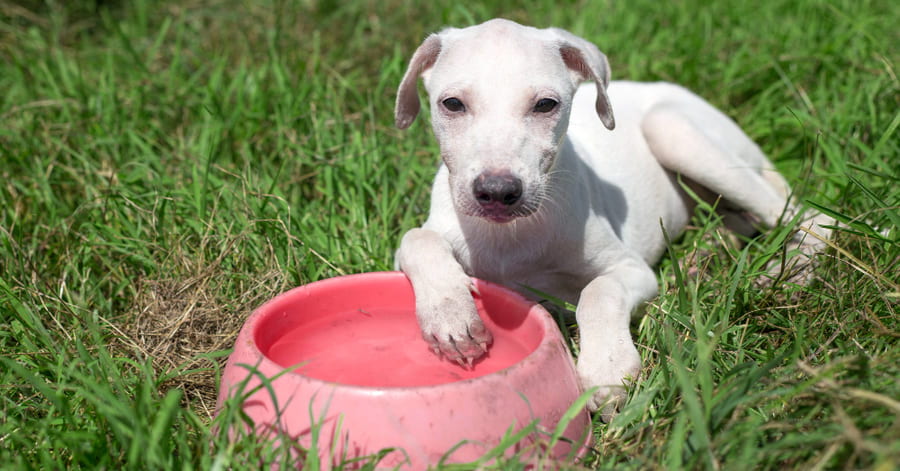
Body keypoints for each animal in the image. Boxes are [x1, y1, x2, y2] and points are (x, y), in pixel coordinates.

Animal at [394, 18, 828, 420]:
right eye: (452, 104)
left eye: (545, 104)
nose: (498, 193)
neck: (511, 236)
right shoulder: (435, 231)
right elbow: (416, 239)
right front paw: (451, 315)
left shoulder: (633, 270)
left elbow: (598, 292)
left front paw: (607, 370)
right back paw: (706, 254)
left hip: (674, 131)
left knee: (808, 216)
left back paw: (790, 272)